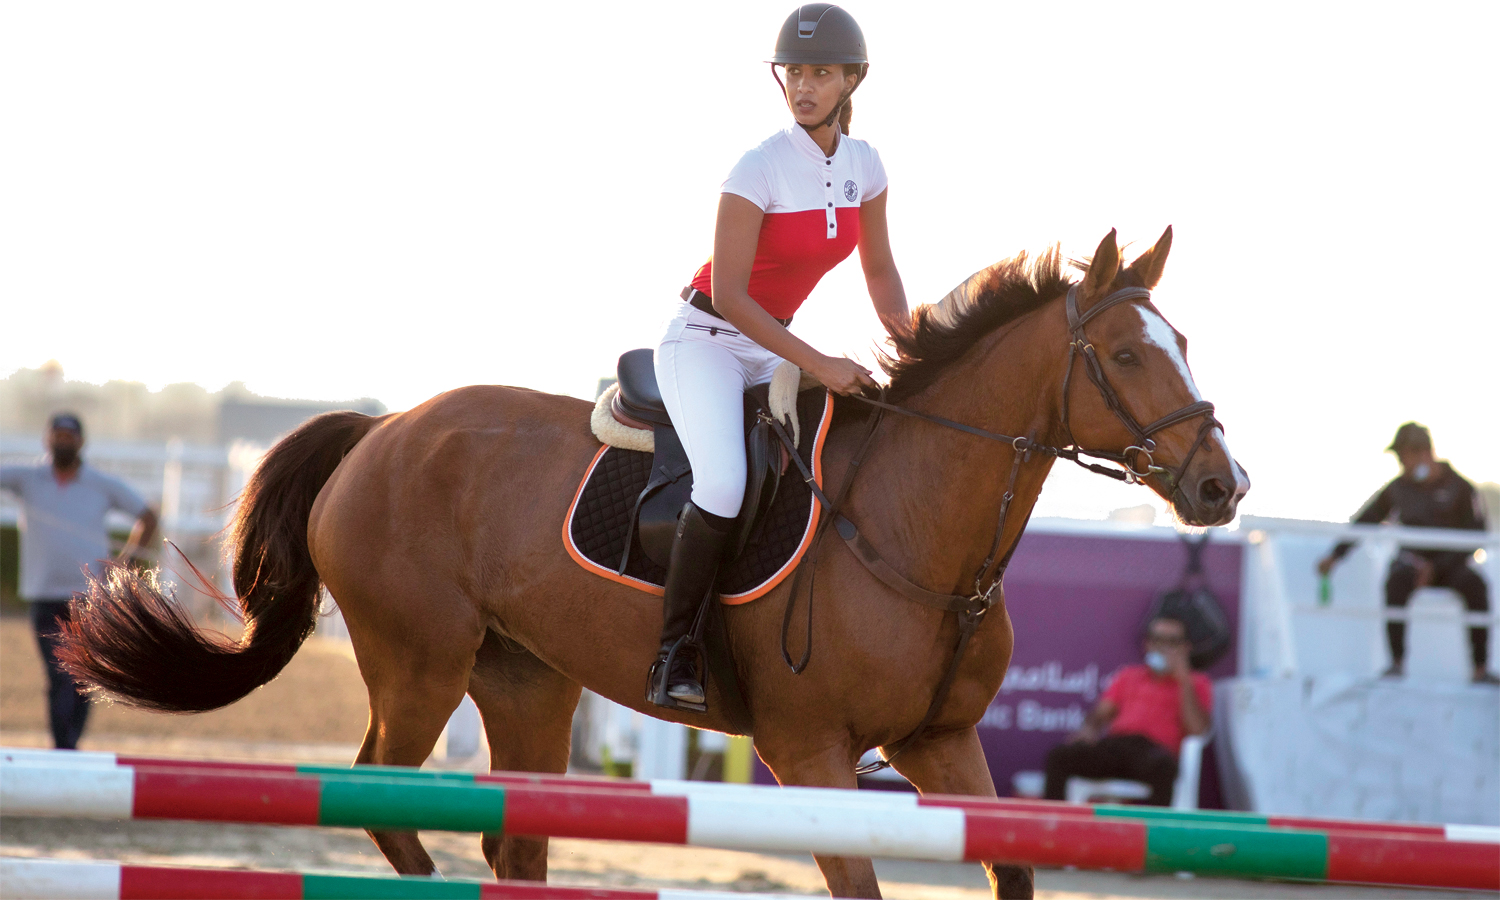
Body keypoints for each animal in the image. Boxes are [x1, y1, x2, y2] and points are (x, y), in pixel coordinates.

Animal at [59, 227, 1248, 900]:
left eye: (1187, 343)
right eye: (1129, 354)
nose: (1221, 487)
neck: (917, 525)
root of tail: (385, 428)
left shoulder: (941, 743)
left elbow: (1012, 870)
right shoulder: (808, 750)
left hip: (524, 681)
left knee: (513, 844)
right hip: (418, 663)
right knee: (385, 804)